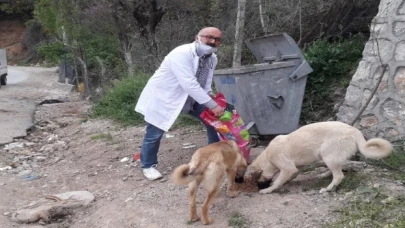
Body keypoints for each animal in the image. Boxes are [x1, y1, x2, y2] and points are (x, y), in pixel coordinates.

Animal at [249, 121, 392, 194]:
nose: (258, 188)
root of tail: (354, 131)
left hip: (327, 155)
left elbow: (278, 180)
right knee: (338, 169)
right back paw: (324, 175)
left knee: (339, 175)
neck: (267, 157)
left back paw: (328, 189)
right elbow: (291, 175)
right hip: (330, 157)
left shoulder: (287, 167)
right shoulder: (296, 167)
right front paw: (286, 181)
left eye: (257, 180)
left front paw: (268, 190)